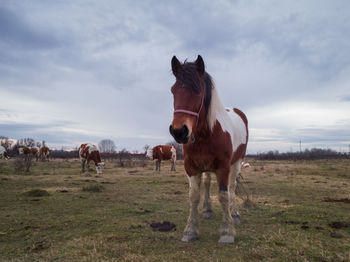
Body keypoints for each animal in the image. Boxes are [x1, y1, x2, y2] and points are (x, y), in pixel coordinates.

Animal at [168, 55, 247, 244]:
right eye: (173, 90)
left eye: (198, 91)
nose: (179, 131)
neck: (207, 133)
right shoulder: (191, 167)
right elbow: (194, 196)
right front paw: (190, 230)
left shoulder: (223, 167)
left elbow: (224, 195)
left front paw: (227, 231)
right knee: (207, 182)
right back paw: (208, 210)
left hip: (237, 162)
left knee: (232, 187)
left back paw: (234, 214)